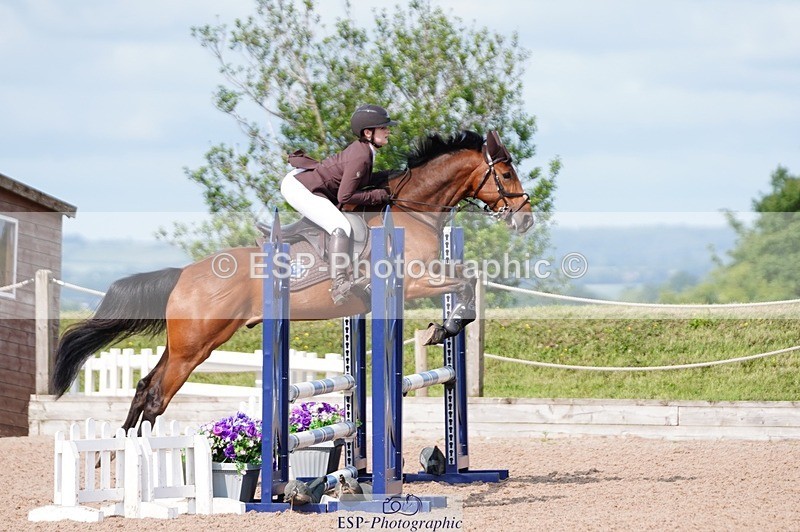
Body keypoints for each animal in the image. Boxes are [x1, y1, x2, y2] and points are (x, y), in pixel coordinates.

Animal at [52, 130, 534, 432]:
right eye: (506, 174)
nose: (525, 219)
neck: (411, 210)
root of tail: (183, 275)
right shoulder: (414, 282)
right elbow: (467, 281)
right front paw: (444, 327)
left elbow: (467, 278)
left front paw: (443, 327)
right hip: (196, 346)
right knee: (157, 396)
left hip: (184, 342)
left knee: (143, 388)